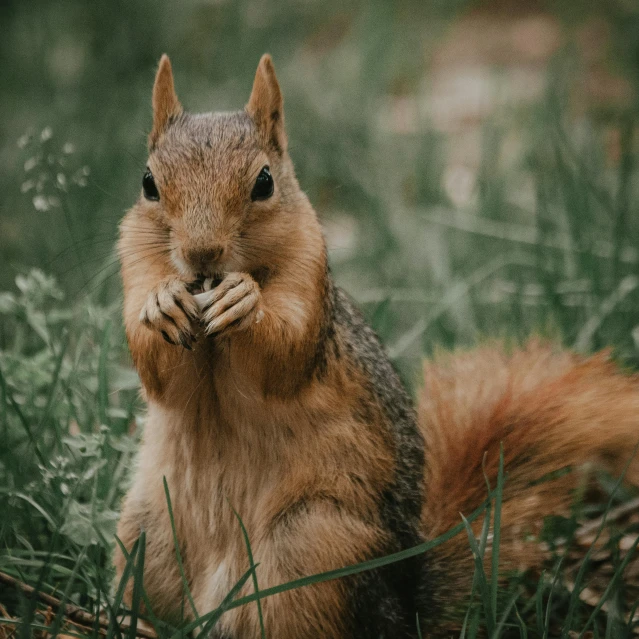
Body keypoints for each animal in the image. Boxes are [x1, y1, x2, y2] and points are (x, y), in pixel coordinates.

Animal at [115, 56, 639, 639]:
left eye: (264, 182)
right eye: (148, 183)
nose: (202, 254)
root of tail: (402, 607)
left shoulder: (310, 280)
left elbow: (284, 358)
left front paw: (245, 300)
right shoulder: (134, 265)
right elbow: (160, 375)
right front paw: (163, 302)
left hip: (310, 546)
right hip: (147, 536)